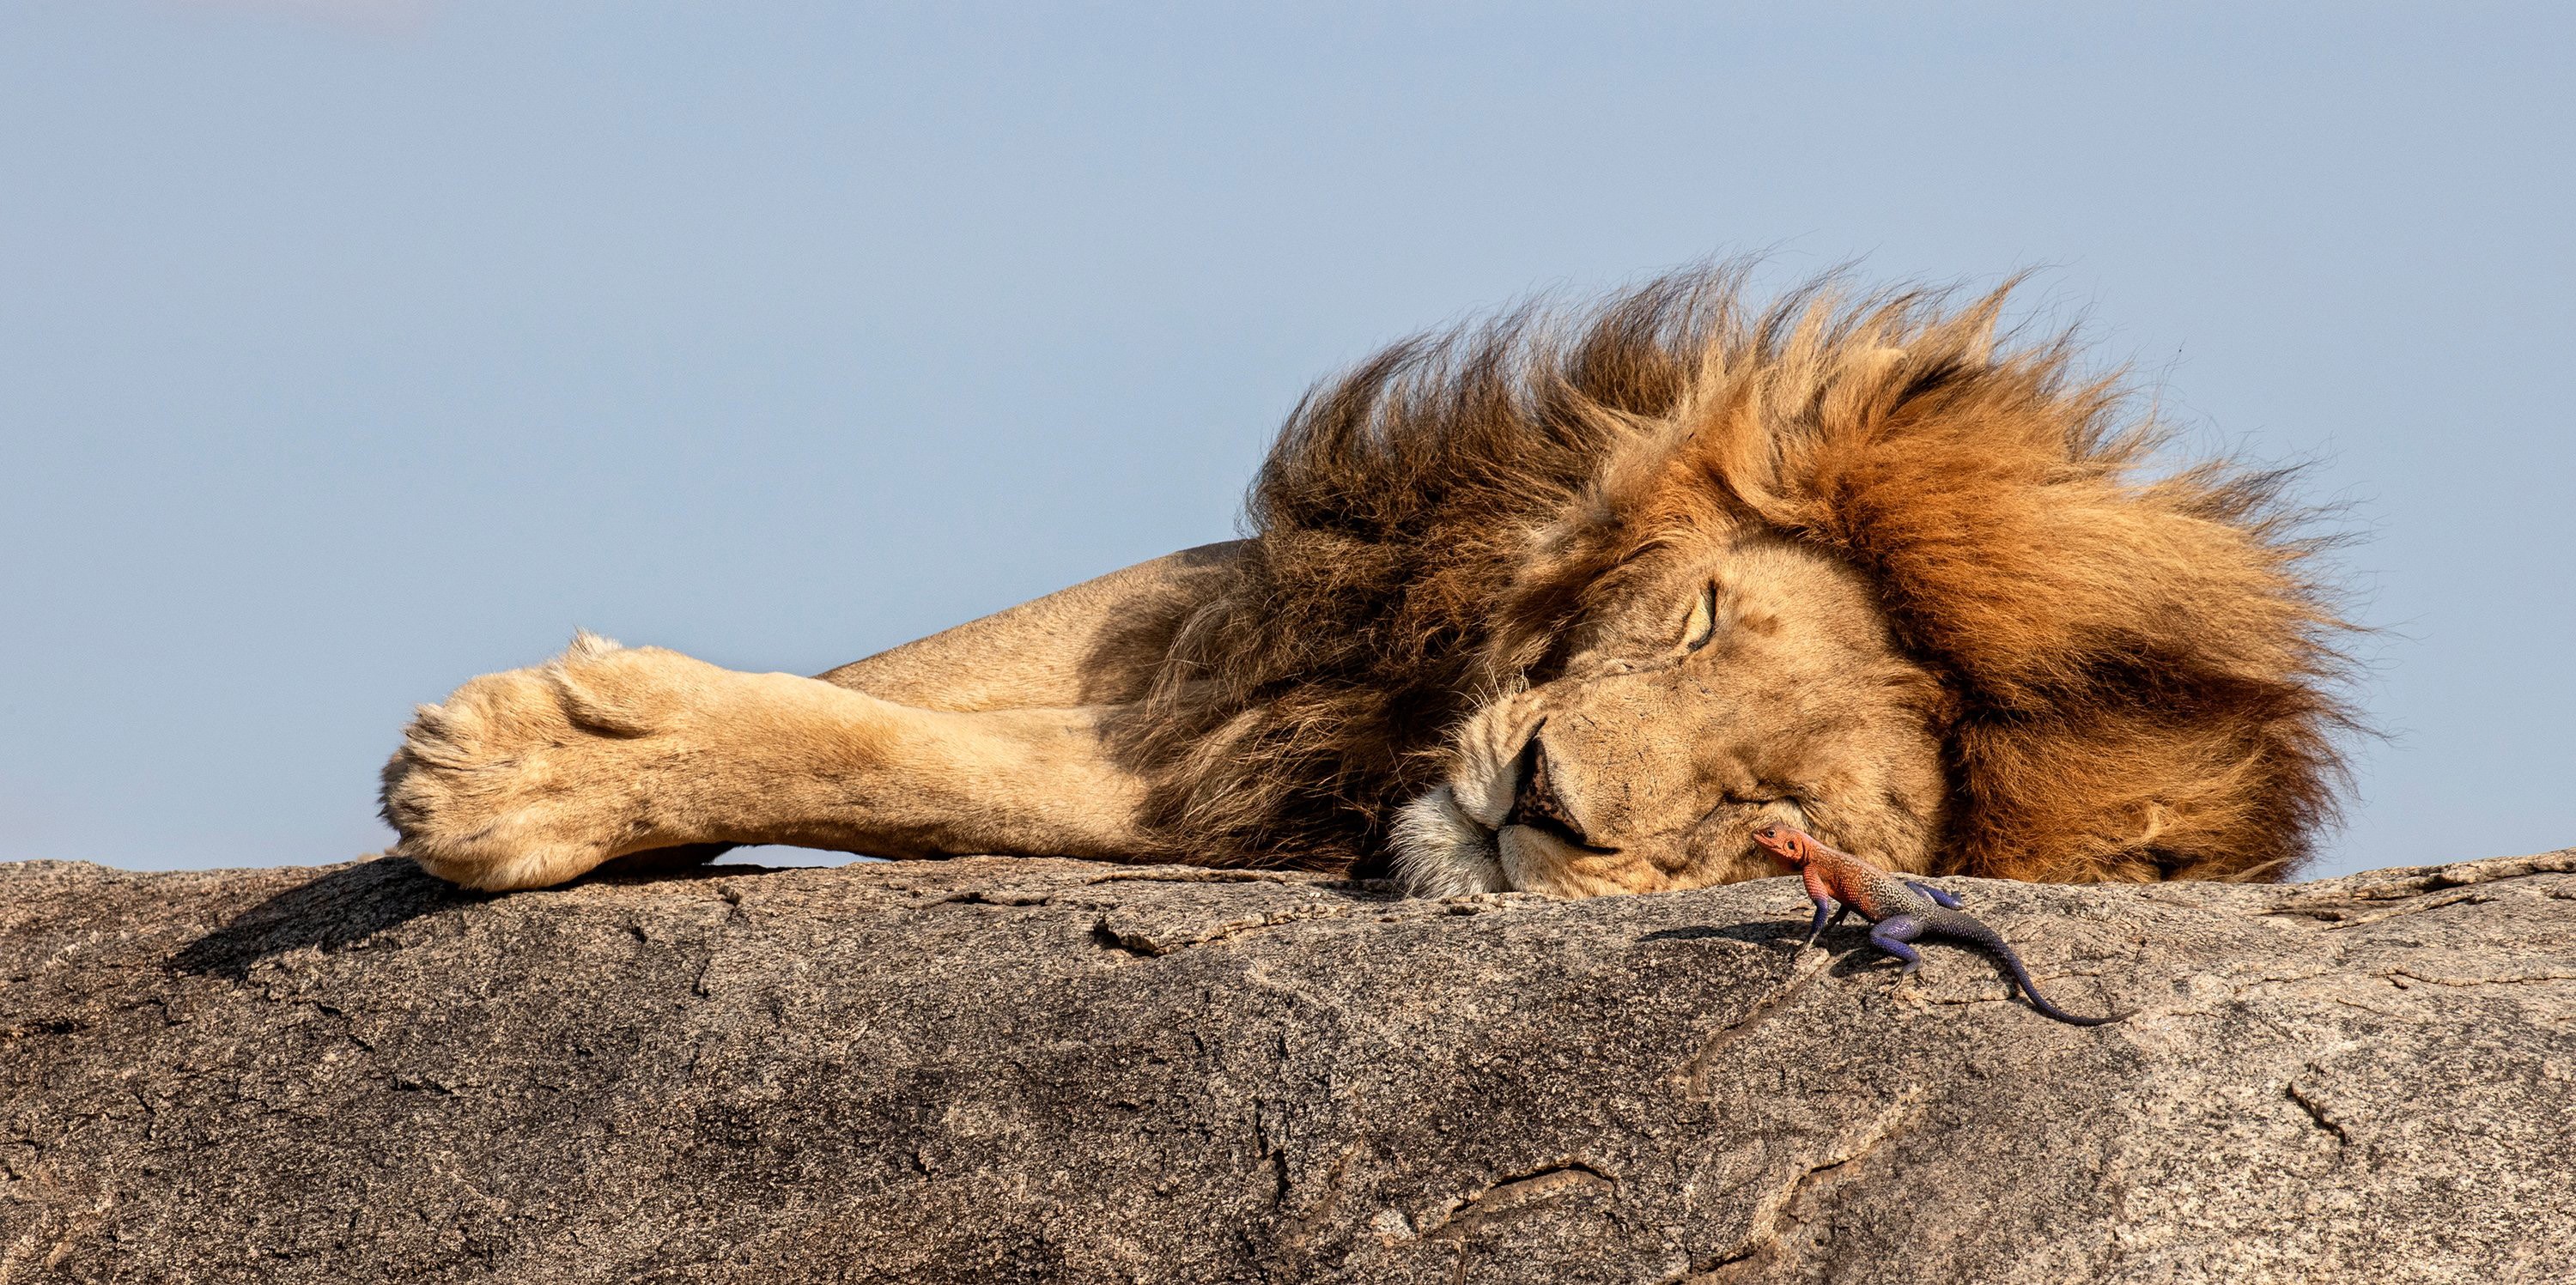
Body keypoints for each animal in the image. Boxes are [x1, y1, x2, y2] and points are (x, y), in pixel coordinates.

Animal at [380, 267, 2355, 898]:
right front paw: (538, 757)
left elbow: (914, 766)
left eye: (1776, 811)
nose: (1539, 797)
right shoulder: (1252, 607)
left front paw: (522, 775)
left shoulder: (1246, 781)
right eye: (1699, 618)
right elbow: (891, 688)